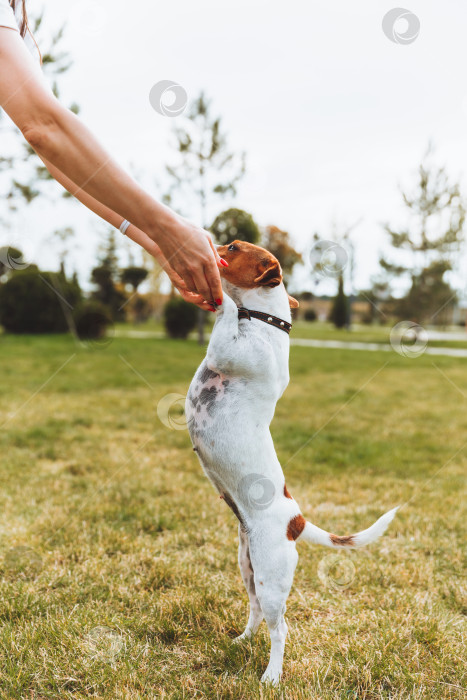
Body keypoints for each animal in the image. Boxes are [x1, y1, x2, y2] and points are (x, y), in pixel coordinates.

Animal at [186, 241, 398, 684]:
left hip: (271, 579)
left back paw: (271, 675)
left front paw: (221, 297)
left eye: (234, 247)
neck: (264, 321)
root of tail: (297, 521)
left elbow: (226, 310)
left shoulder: (227, 350)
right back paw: (242, 641)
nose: (212, 242)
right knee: (255, 613)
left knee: (281, 629)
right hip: (249, 568)